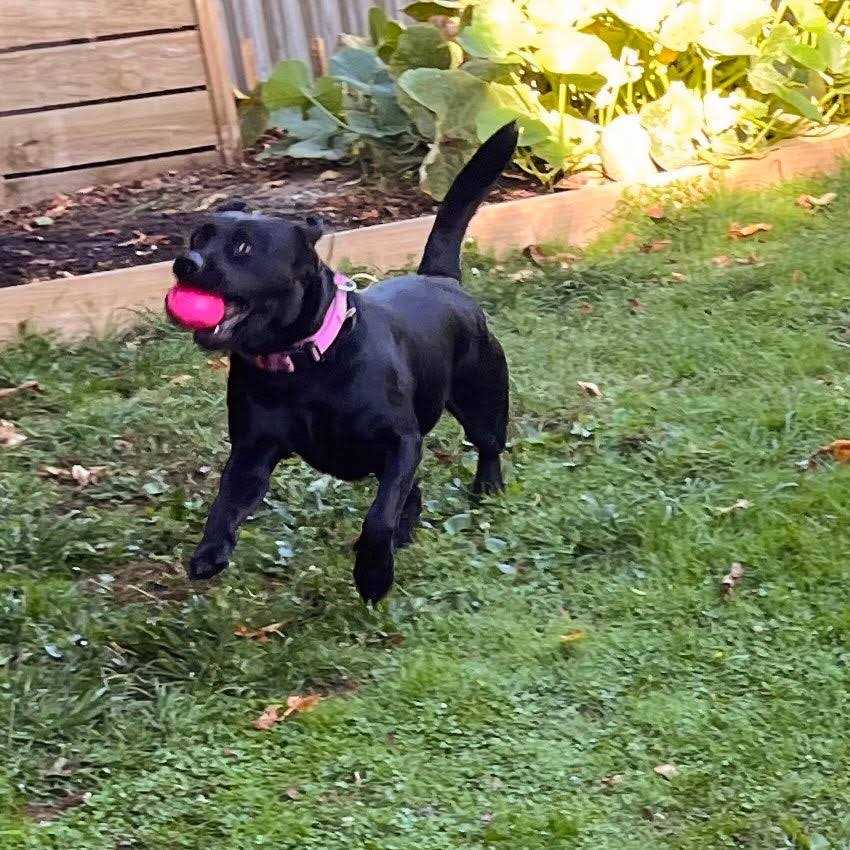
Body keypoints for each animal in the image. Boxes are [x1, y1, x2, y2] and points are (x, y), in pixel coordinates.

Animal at [168, 122, 518, 603]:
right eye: (198, 237)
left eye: (242, 247)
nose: (185, 264)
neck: (304, 365)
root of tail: (440, 279)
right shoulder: (252, 450)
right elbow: (225, 501)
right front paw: (211, 550)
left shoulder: (400, 442)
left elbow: (378, 518)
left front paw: (373, 574)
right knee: (413, 491)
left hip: (481, 397)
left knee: (487, 445)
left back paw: (487, 487)